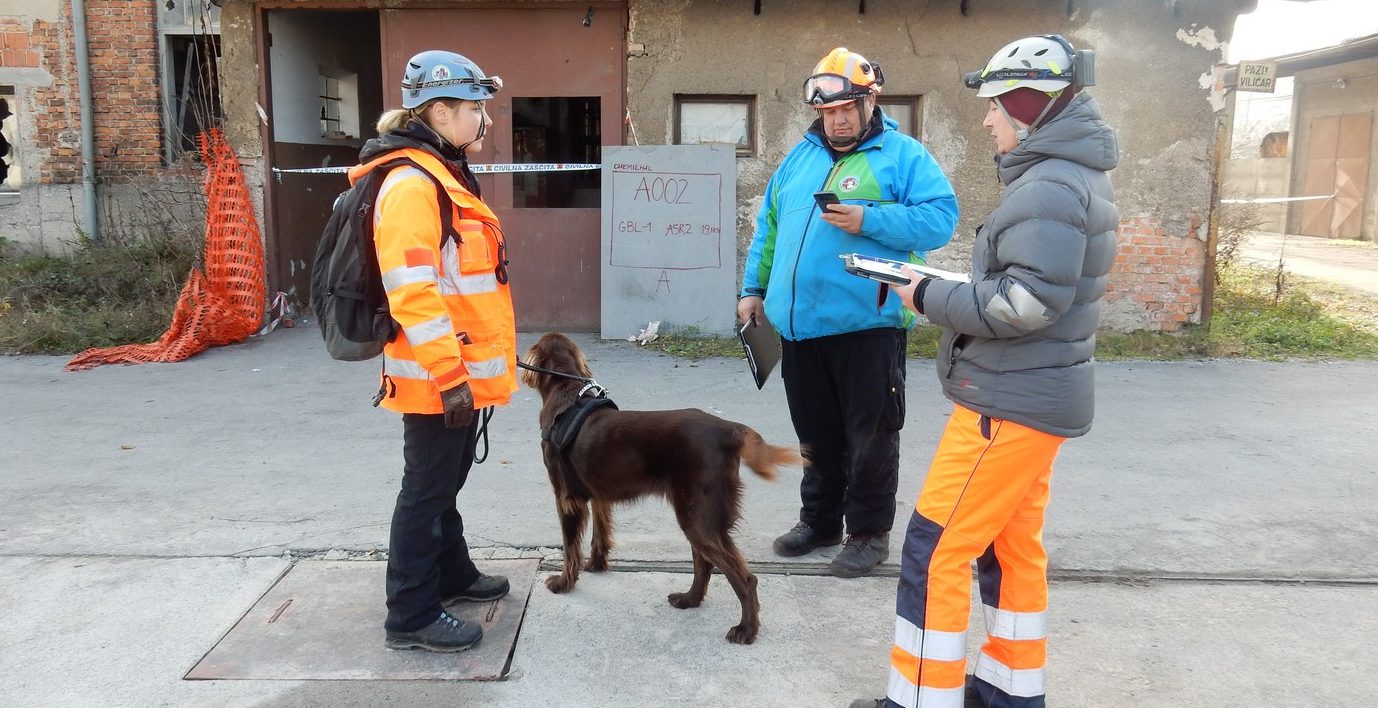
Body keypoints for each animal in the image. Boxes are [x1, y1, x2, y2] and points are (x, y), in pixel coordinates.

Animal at [518, 330, 804, 639]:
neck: (566, 390)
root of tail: (730, 429)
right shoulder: (599, 496)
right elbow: (599, 534)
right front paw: (596, 565)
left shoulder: (567, 498)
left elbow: (570, 546)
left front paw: (563, 584)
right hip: (697, 512)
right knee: (704, 563)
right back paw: (689, 599)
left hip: (697, 515)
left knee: (743, 577)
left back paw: (746, 630)